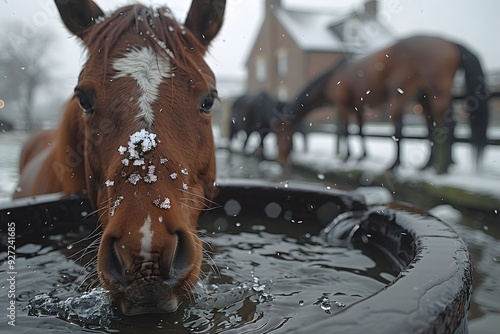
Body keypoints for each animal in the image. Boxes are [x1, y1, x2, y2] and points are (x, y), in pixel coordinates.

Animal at [274, 35, 488, 174]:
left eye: (281, 135)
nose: (280, 162)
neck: (333, 77)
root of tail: (450, 43)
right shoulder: (358, 108)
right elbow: (360, 130)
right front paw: (361, 156)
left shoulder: (343, 106)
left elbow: (345, 130)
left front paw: (346, 157)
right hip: (425, 99)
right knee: (432, 128)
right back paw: (427, 166)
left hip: (411, 97)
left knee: (438, 125)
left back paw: (419, 167)